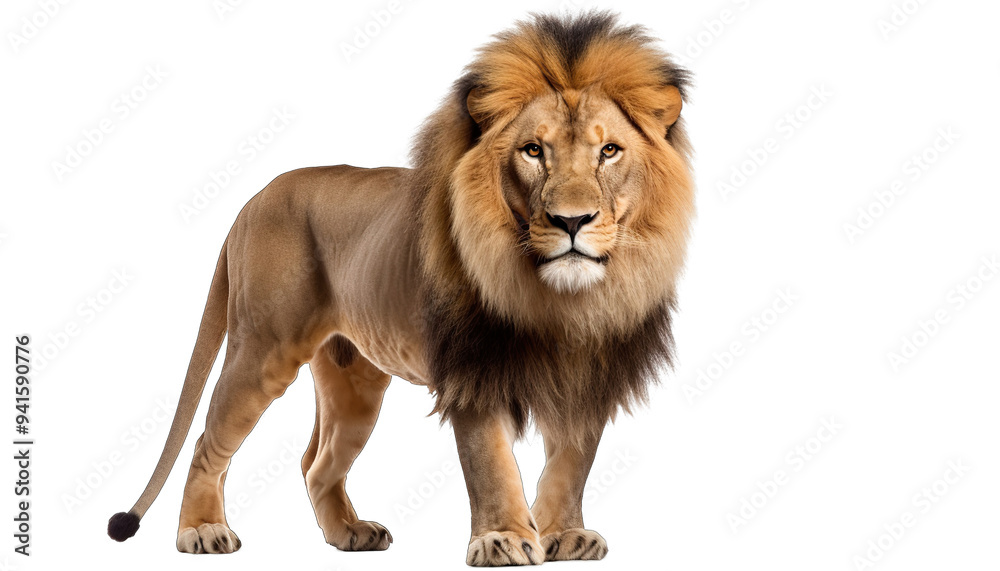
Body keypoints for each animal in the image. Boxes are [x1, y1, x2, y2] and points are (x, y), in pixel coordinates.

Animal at [107, 11, 694, 566]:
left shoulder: (591, 373)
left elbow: (572, 464)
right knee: (208, 441)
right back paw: (201, 530)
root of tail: (253, 200)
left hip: (354, 382)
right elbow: (492, 463)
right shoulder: (472, 372)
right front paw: (503, 539)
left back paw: (350, 533)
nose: (572, 221)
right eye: (532, 151)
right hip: (263, 348)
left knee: (316, 462)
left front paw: (565, 536)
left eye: (610, 151)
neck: (562, 302)